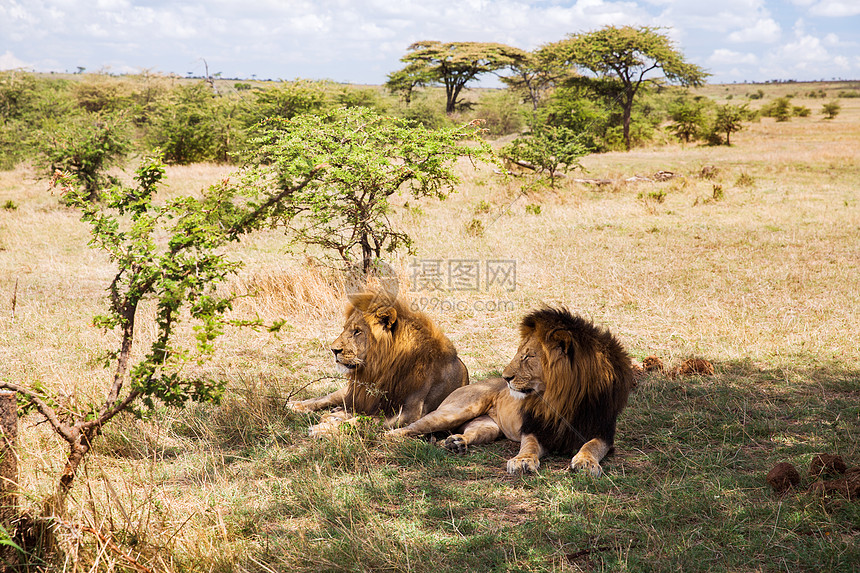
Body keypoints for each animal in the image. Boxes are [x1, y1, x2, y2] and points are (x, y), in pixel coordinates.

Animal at [286, 290, 466, 434]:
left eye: (357, 331)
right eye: (345, 329)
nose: (334, 350)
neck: (381, 369)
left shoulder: (409, 415)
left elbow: (362, 421)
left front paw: (323, 428)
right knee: (327, 397)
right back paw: (295, 404)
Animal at [388, 306, 632, 476]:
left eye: (528, 356)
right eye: (521, 353)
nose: (506, 378)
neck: (562, 399)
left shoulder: (603, 432)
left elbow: (591, 446)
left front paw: (586, 462)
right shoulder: (534, 428)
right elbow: (529, 445)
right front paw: (522, 461)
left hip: (487, 427)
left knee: (467, 434)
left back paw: (455, 443)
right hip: (455, 411)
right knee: (408, 427)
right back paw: (394, 438)